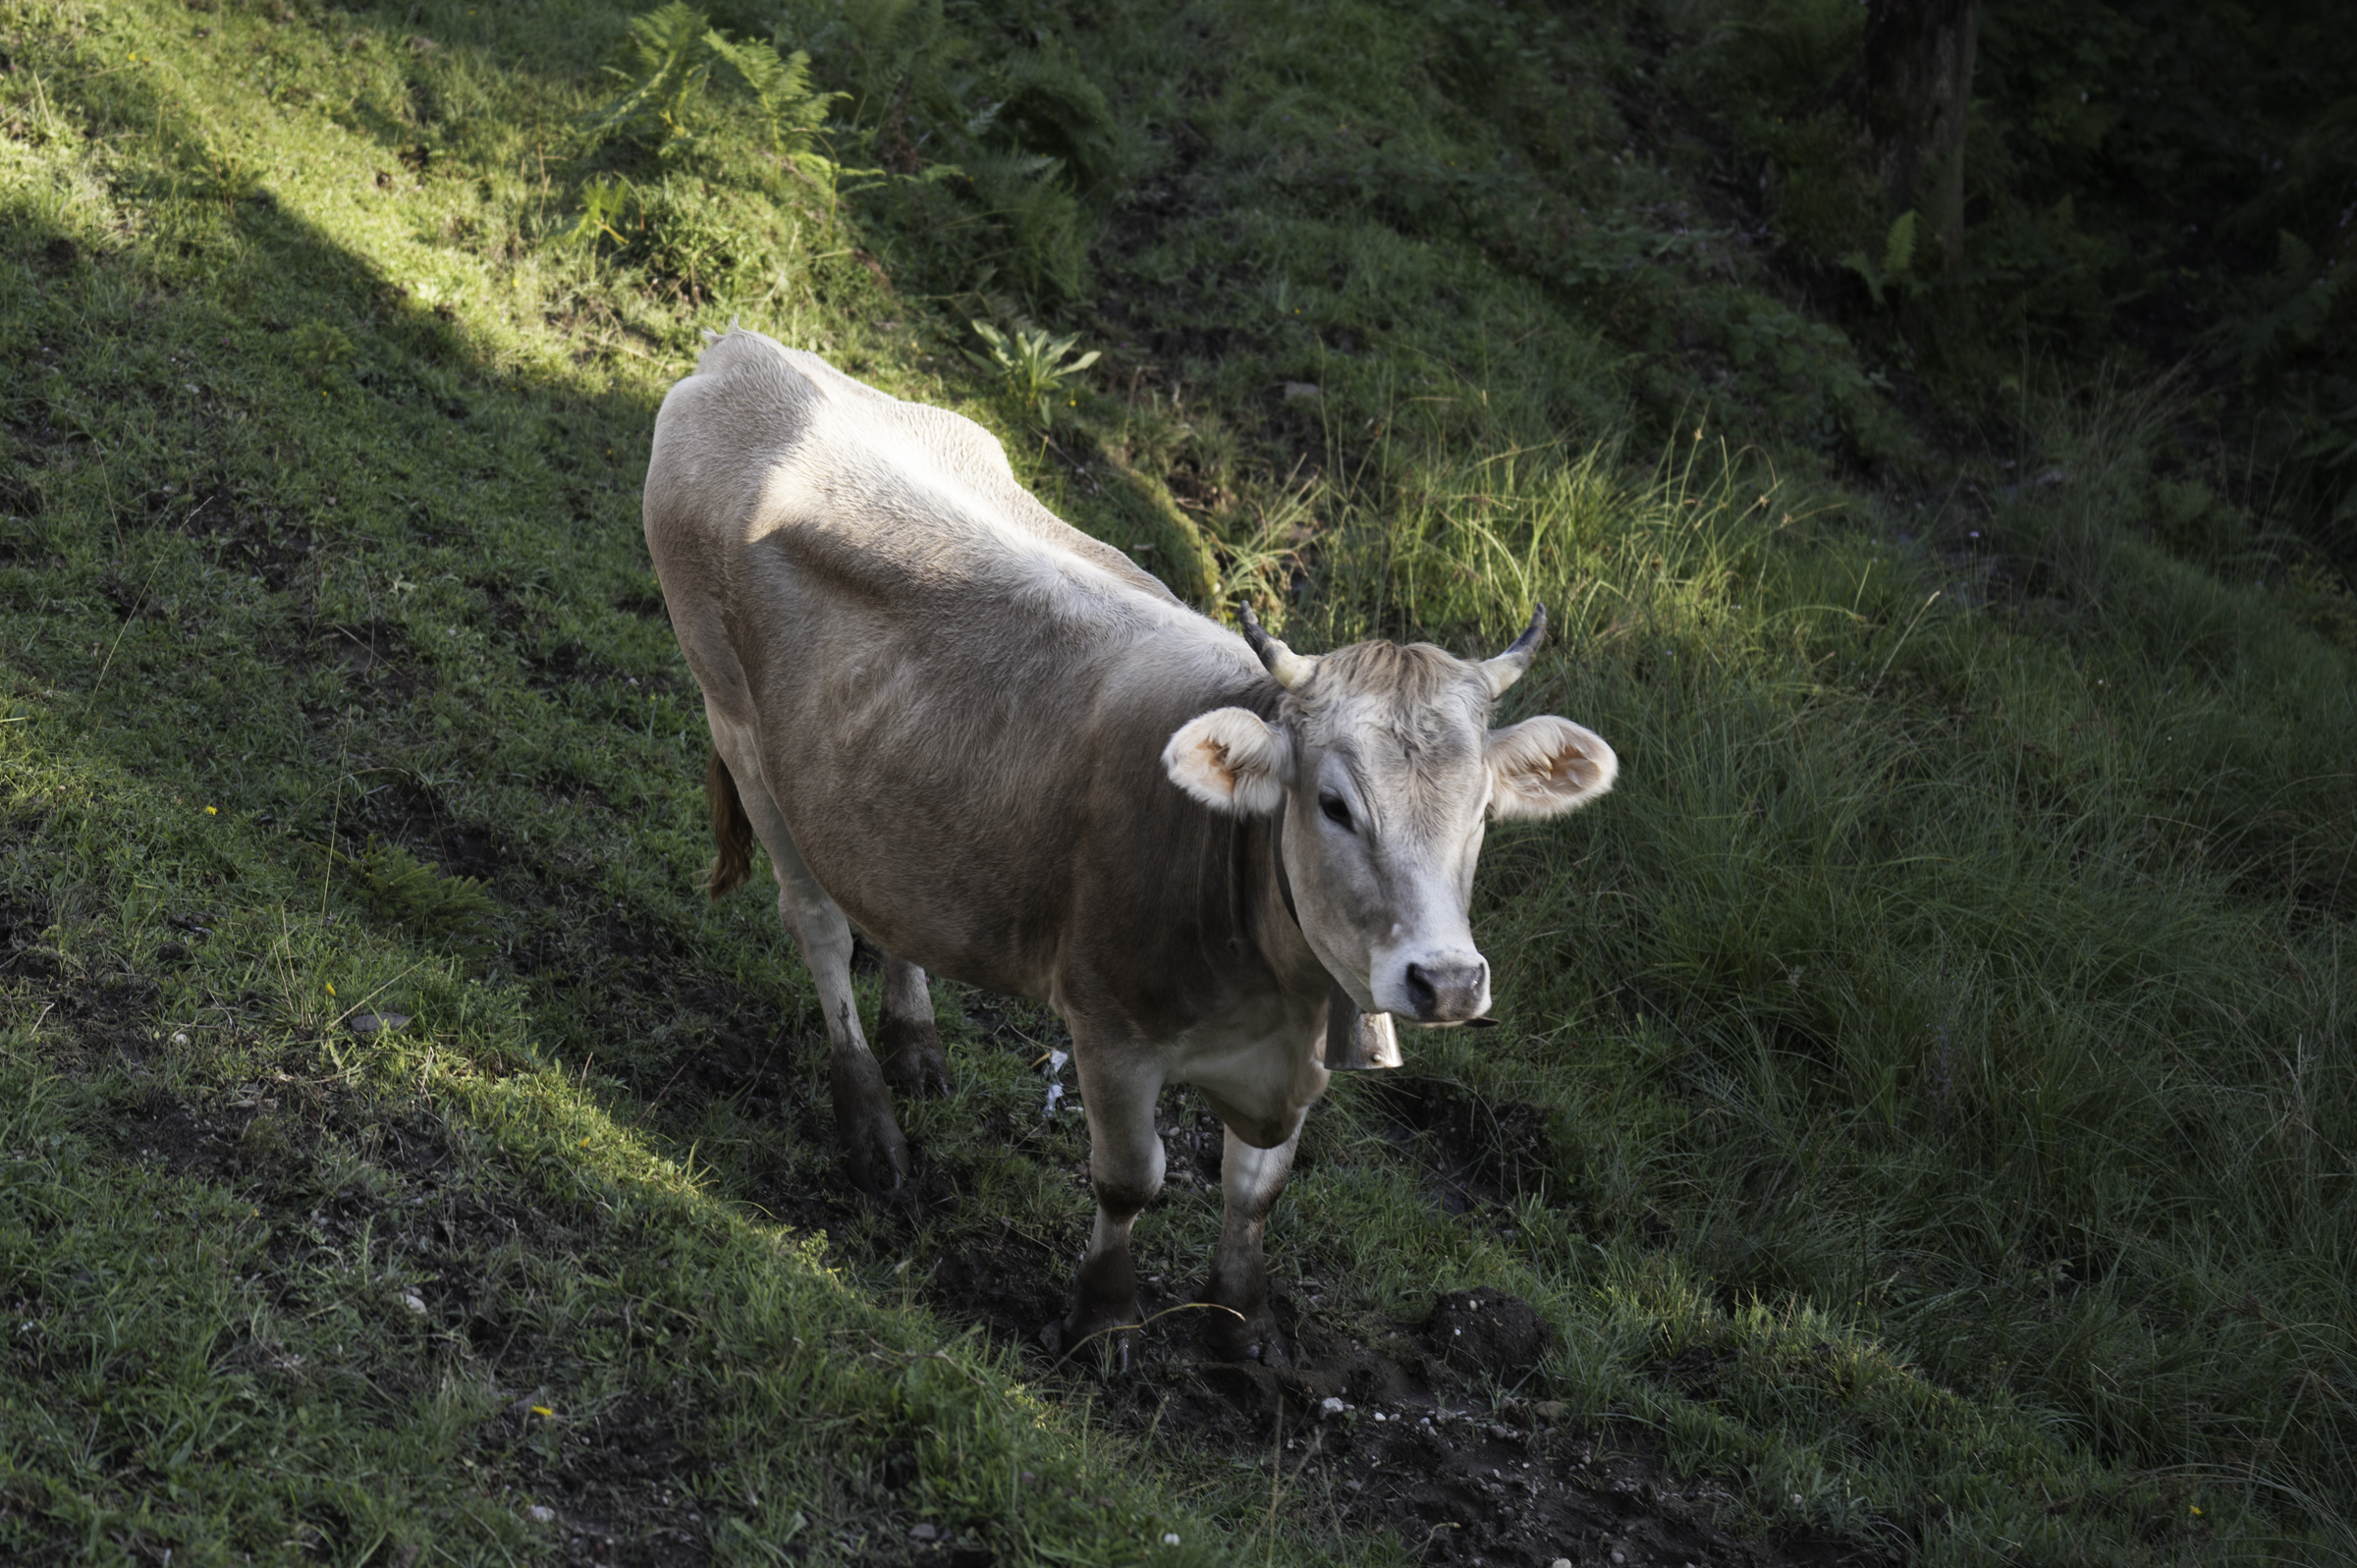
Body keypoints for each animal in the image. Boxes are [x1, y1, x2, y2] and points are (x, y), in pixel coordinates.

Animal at [643, 327, 1617, 1365]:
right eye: (1334, 804)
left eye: (1482, 814)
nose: (1448, 981)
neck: (1270, 983)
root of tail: (747, 352)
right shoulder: (1108, 1028)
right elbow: (1129, 1178)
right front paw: (1102, 1315)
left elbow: (1256, 1193)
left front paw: (1243, 1327)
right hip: (736, 719)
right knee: (819, 921)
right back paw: (871, 1123)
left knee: (883, 900)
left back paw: (916, 1046)